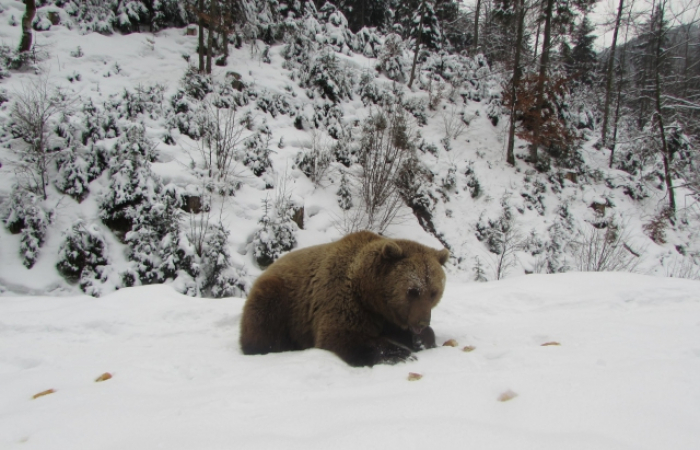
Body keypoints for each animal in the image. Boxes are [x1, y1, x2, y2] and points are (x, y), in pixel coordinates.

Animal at [239, 230, 448, 368]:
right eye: (412, 291)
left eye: (434, 292)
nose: (422, 322)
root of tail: (269, 267)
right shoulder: (342, 297)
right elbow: (341, 334)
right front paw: (399, 353)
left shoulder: (386, 315)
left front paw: (421, 339)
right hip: (281, 298)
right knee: (264, 324)